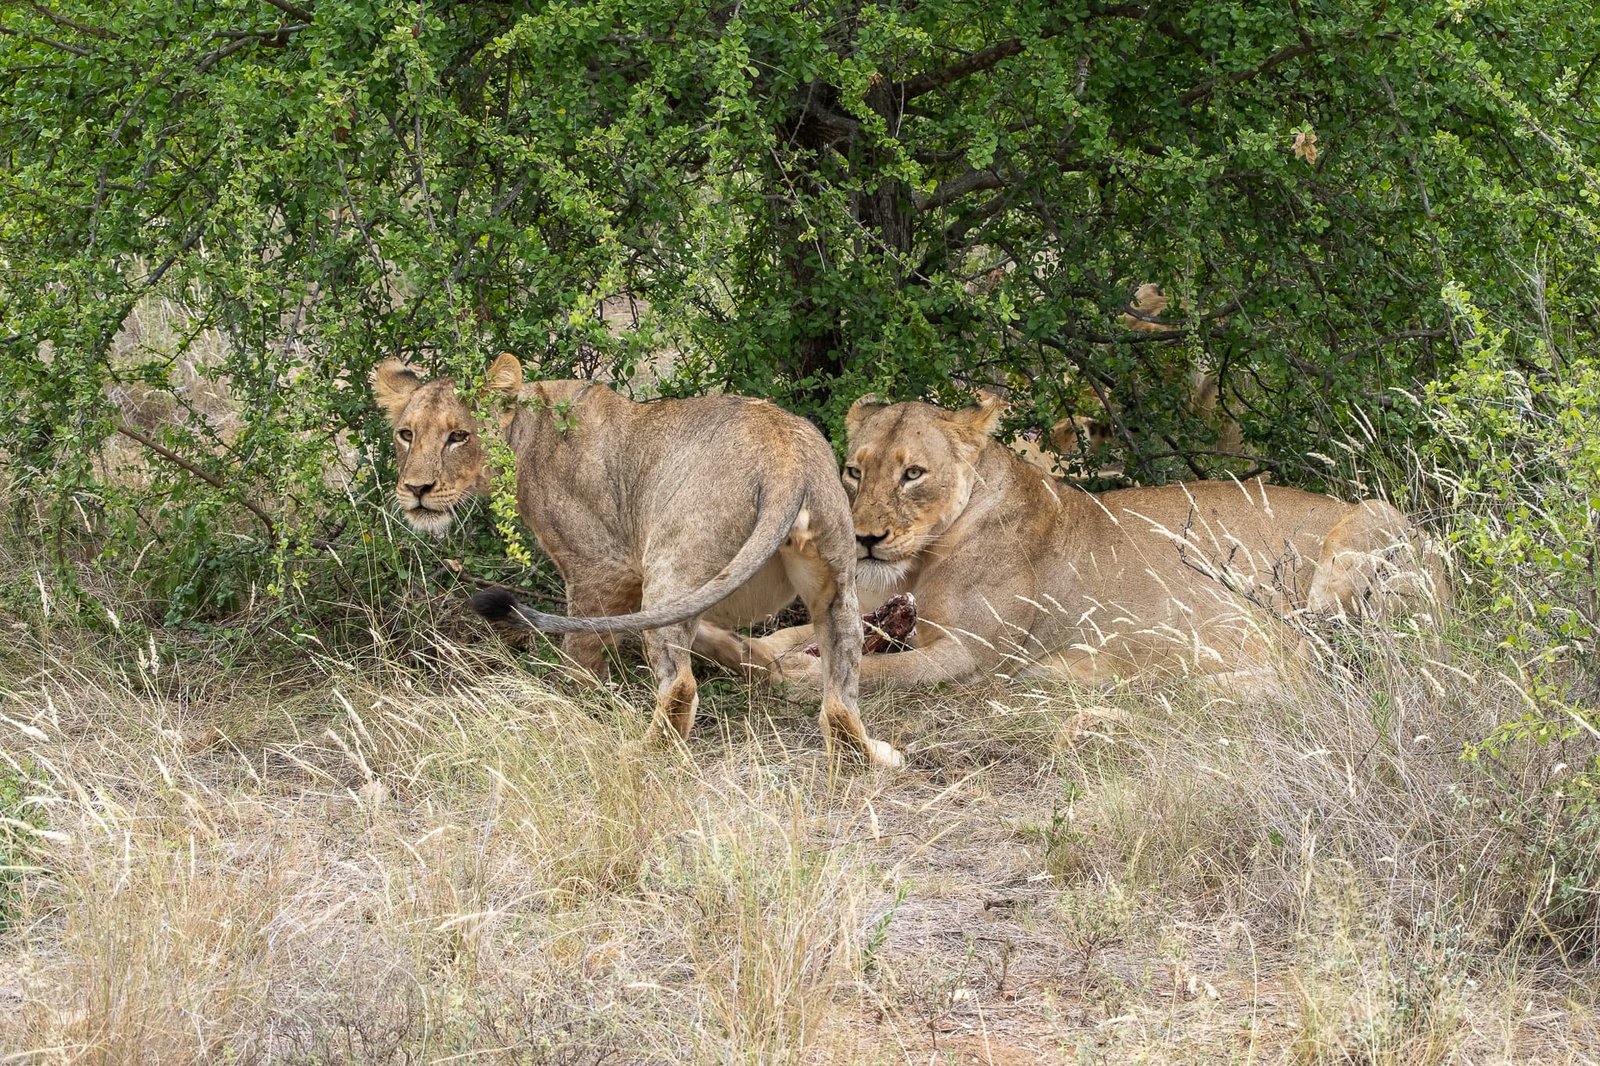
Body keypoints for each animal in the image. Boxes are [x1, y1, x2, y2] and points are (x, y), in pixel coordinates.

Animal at [370, 354, 902, 768]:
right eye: (406, 434)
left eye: (458, 436)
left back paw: (636, 757)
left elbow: (582, 655)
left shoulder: (602, 569)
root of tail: (785, 456)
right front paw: (751, 660)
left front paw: (577, 713)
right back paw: (869, 755)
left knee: (680, 685)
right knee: (840, 693)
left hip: (671, 561)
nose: (416, 489)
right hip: (836, 583)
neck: (525, 432)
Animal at [756, 395, 1446, 692]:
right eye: (855, 470)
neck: (927, 555)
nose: (865, 540)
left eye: (913, 473)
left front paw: (798, 675)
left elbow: (880, 670)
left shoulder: (972, 657)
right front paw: (760, 652)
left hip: (1364, 533)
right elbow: (800, 636)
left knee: (1316, 656)